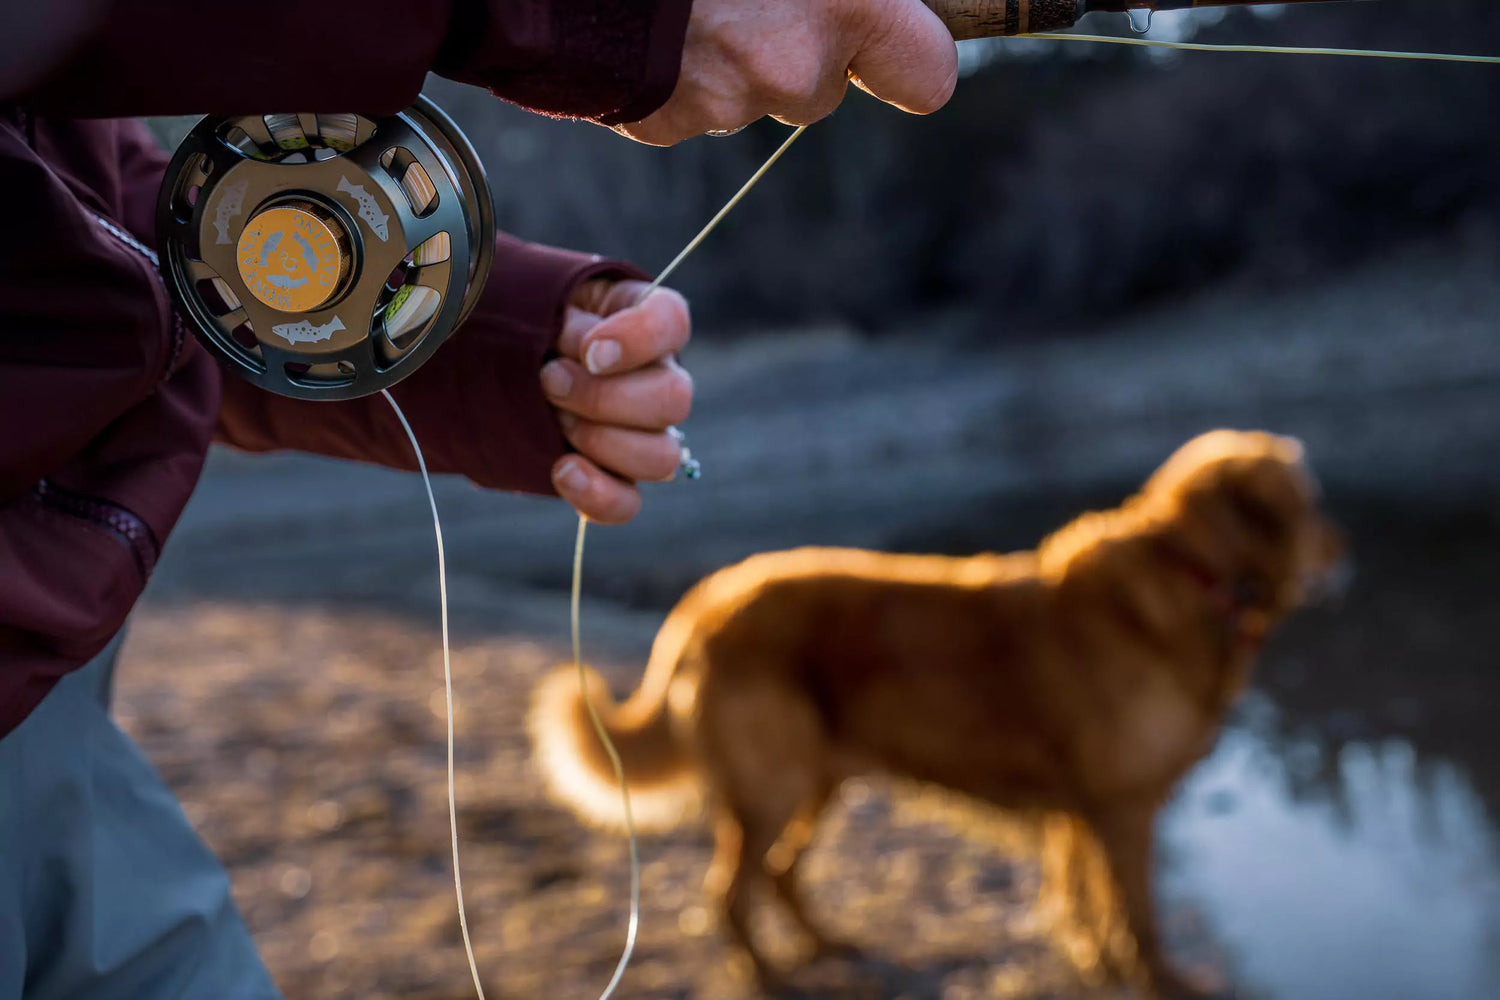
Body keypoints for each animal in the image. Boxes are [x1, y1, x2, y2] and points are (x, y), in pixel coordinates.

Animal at [531, 431, 1350, 1000]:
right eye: (1312, 503)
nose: (1347, 547)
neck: (1193, 579)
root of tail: (705, 604)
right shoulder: (1121, 810)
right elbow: (1140, 919)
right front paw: (1160, 982)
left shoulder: (1080, 814)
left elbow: (1091, 909)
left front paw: (1098, 964)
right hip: (770, 789)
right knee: (728, 895)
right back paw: (771, 978)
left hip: (818, 782)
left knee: (782, 875)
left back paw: (825, 946)